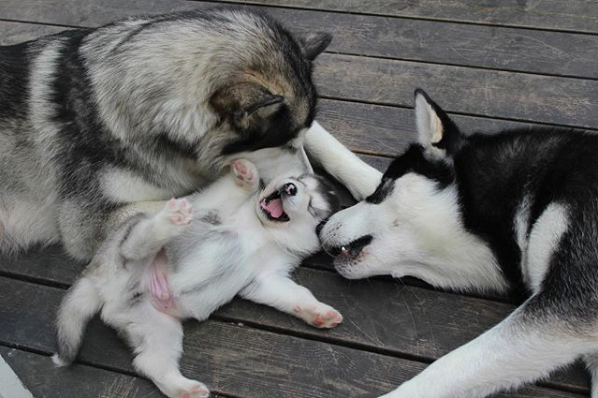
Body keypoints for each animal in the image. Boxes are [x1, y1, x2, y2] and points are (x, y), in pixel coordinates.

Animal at [0, 8, 382, 262]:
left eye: (294, 140)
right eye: (283, 144)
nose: (308, 183)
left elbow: (322, 138)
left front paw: (373, 183)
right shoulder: (87, 223)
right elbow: (192, 201)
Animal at [52, 159, 342, 398]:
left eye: (312, 206)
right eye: (297, 178)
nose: (289, 188)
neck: (264, 231)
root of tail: (101, 282)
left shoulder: (267, 278)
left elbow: (297, 294)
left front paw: (320, 313)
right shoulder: (211, 208)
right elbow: (232, 190)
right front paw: (247, 173)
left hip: (155, 324)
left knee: (149, 362)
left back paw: (185, 390)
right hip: (129, 245)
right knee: (136, 244)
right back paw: (168, 221)